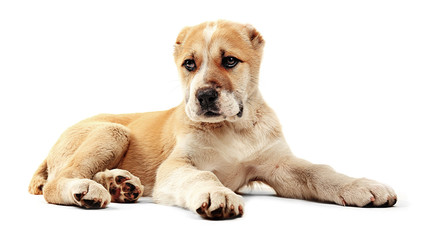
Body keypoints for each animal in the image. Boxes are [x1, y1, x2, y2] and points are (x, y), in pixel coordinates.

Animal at [29, 20, 398, 219]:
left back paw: (120, 184)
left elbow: (320, 172)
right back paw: (89, 190)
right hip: (112, 131)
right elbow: (202, 175)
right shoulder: (178, 165)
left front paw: (360, 186)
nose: (204, 96)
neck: (234, 128)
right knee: (57, 182)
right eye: (189, 64)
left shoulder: (279, 166)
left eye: (230, 61)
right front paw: (216, 195)